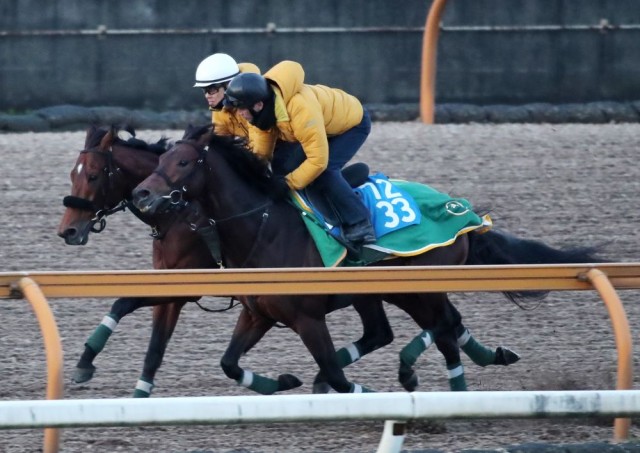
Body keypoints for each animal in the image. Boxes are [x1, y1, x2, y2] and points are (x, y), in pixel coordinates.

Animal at [57, 123, 524, 396]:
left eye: (93, 175)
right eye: (73, 175)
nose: (68, 231)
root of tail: (462, 211)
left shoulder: (191, 284)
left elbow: (129, 309)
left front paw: (87, 364)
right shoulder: (188, 288)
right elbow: (156, 339)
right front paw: (127, 386)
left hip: (415, 287)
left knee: (442, 324)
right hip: (380, 292)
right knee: (408, 329)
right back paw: (480, 360)